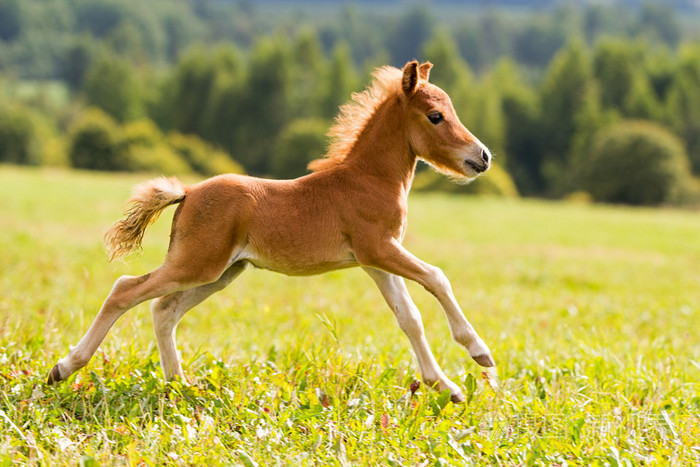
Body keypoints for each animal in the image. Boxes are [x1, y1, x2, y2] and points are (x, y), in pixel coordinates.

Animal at [47, 60, 498, 402]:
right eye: (436, 116)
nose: (483, 157)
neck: (368, 179)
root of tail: (189, 192)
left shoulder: (374, 261)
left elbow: (409, 318)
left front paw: (447, 387)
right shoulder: (379, 249)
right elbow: (437, 278)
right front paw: (480, 353)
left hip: (222, 272)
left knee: (163, 310)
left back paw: (180, 385)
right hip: (198, 264)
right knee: (125, 289)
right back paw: (64, 367)